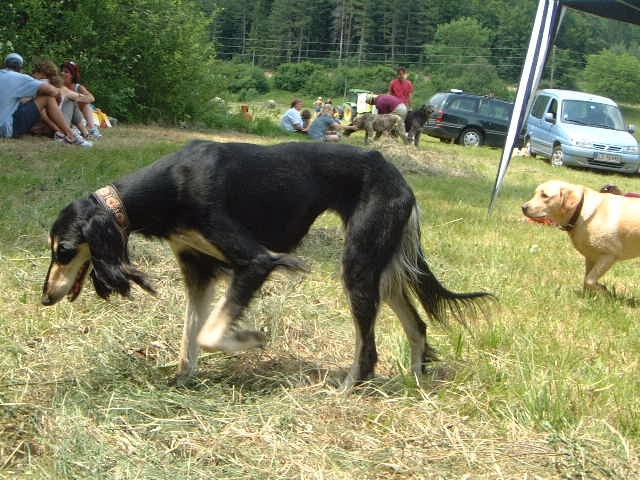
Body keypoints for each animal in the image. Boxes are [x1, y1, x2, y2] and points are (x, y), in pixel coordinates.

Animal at [41, 139, 490, 390]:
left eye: (63, 250)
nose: (45, 298)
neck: (173, 183)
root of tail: (399, 176)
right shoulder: (197, 268)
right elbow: (191, 334)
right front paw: (182, 380)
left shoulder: (256, 261)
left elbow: (209, 333)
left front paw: (250, 339)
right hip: (380, 267)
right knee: (417, 325)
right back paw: (415, 380)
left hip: (358, 265)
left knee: (369, 349)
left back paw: (348, 386)